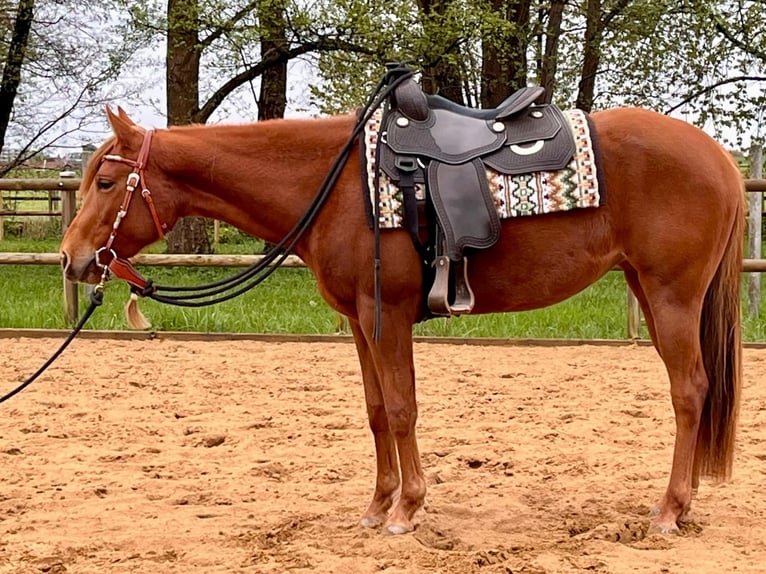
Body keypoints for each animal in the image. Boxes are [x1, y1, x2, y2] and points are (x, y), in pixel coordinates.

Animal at [59, 101, 743, 537]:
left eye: (106, 183)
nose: (73, 259)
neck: (335, 185)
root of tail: (721, 158)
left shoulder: (385, 315)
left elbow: (402, 407)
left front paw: (406, 509)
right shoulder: (362, 322)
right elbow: (376, 411)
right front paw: (378, 502)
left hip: (672, 296)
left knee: (690, 392)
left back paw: (669, 510)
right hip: (650, 292)